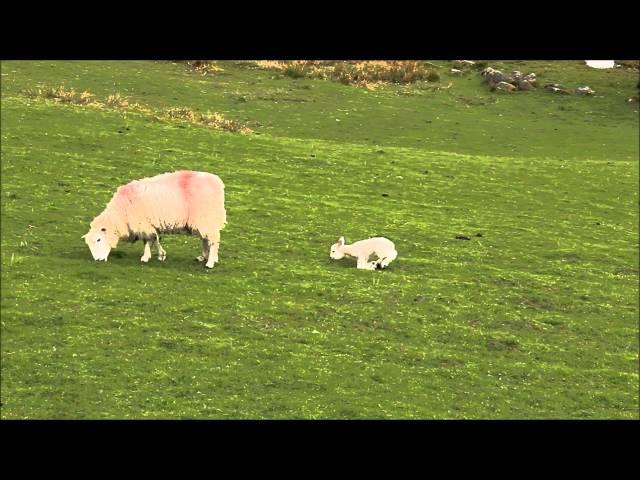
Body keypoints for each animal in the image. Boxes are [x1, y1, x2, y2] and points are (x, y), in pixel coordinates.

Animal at [82, 170, 226, 268]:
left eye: (99, 239)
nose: (98, 261)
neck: (121, 212)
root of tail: (217, 182)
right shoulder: (148, 224)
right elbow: (154, 239)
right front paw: (160, 254)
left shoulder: (143, 223)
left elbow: (149, 240)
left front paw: (149, 256)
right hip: (204, 221)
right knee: (205, 239)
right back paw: (203, 256)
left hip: (206, 217)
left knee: (213, 240)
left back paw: (210, 262)